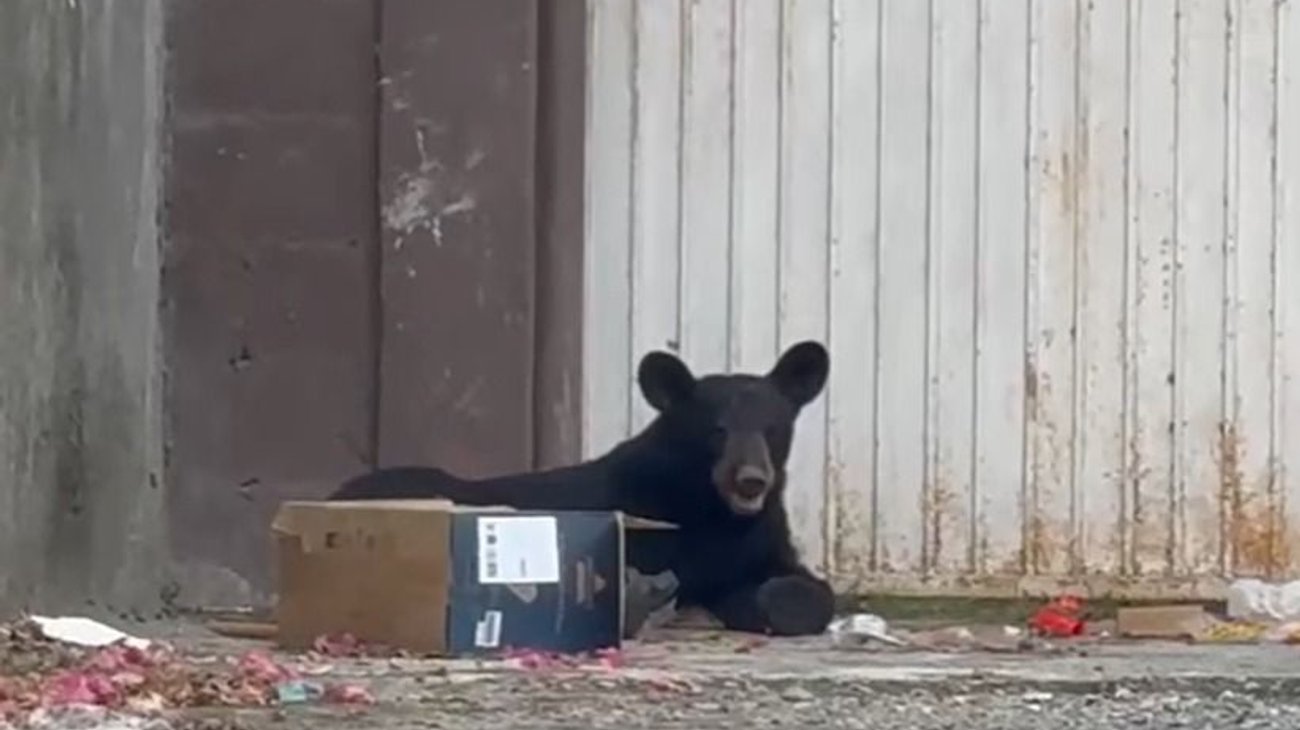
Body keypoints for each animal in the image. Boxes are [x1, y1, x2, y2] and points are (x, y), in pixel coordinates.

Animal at [328, 340, 835, 636]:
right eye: (716, 430)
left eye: (773, 428)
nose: (751, 478)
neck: (712, 510)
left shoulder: (759, 537)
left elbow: (807, 588)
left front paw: (764, 600)